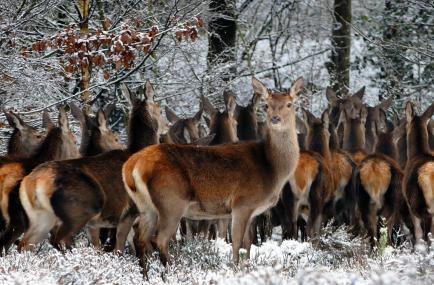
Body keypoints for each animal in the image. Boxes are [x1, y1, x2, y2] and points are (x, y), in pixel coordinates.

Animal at [17, 81, 164, 252]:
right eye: (160, 109)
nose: (167, 125)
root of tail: (35, 181)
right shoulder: (129, 213)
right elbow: (120, 248)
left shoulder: (95, 225)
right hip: (80, 209)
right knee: (60, 239)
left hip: (40, 217)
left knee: (24, 244)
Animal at [122, 76, 302, 264]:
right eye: (267, 104)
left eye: (289, 104)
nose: (275, 119)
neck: (271, 168)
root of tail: (132, 164)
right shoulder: (242, 203)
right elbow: (237, 244)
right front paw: (234, 266)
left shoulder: (251, 211)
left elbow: (247, 246)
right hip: (170, 202)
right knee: (159, 239)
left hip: (145, 206)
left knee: (140, 238)